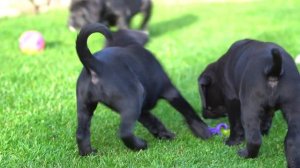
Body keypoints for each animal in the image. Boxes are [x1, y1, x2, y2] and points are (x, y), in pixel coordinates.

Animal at [75, 23, 211, 156]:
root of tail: (96, 65)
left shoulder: (142, 109)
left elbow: (152, 121)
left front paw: (165, 135)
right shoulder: (170, 91)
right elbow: (188, 111)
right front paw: (204, 131)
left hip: (85, 106)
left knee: (81, 133)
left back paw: (88, 153)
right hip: (132, 100)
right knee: (125, 133)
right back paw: (140, 145)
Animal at [199, 39, 300, 167]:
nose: (204, 115)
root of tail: (273, 69)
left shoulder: (232, 100)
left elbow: (235, 124)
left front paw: (231, 142)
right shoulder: (268, 110)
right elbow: (266, 119)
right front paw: (264, 131)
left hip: (249, 108)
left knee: (254, 140)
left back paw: (245, 154)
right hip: (295, 107)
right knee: (292, 140)